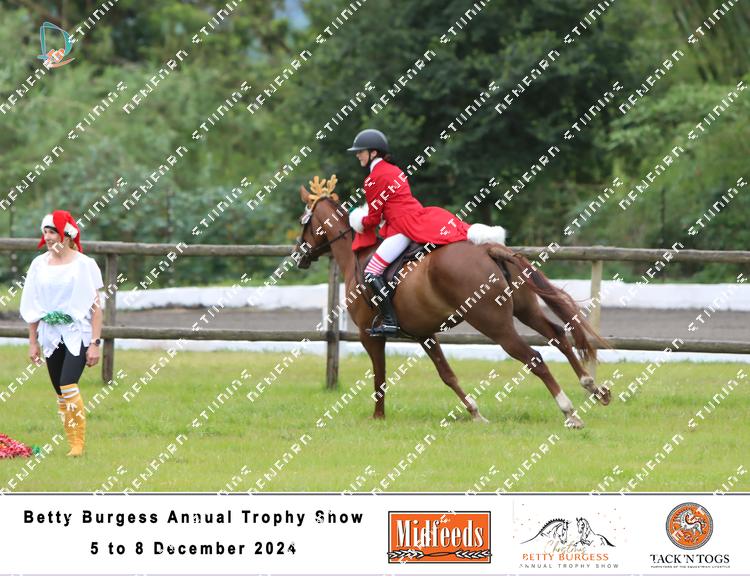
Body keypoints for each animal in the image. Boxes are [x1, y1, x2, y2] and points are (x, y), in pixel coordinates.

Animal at [294, 176, 611, 428]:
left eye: (303, 222)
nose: (298, 256)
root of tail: (488, 249)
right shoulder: (424, 334)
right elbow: (447, 374)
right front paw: (475, 413)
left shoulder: (368, 336)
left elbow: (379, 377)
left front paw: (378, 416)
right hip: (525, 310)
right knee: (558, 335)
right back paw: (593, 387)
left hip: (493, 324)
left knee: (534, 357)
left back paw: (570, 412)